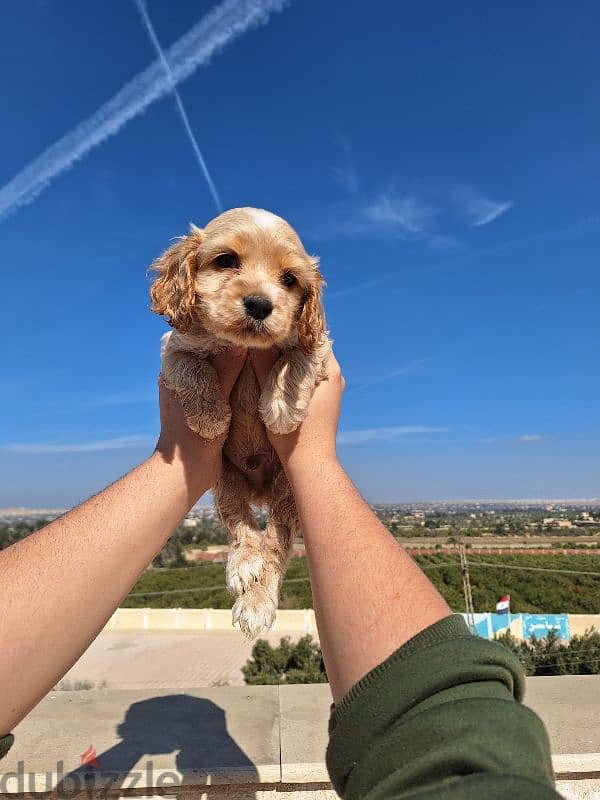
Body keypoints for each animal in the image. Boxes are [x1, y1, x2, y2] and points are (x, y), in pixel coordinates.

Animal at [148, 206, 330, 636]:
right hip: (226, 480)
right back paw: (244, 566)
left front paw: (281, 407)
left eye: (289, 279)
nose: (261, 304)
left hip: (285, 491)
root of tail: (261, 489)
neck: (245, 349)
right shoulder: (172, 350)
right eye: (226, 260)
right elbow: (191, 368)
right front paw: (211, 416)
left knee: (276, 546)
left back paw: (257, 604)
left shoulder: (320, 343)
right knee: (242, 526)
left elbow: (298, 356)